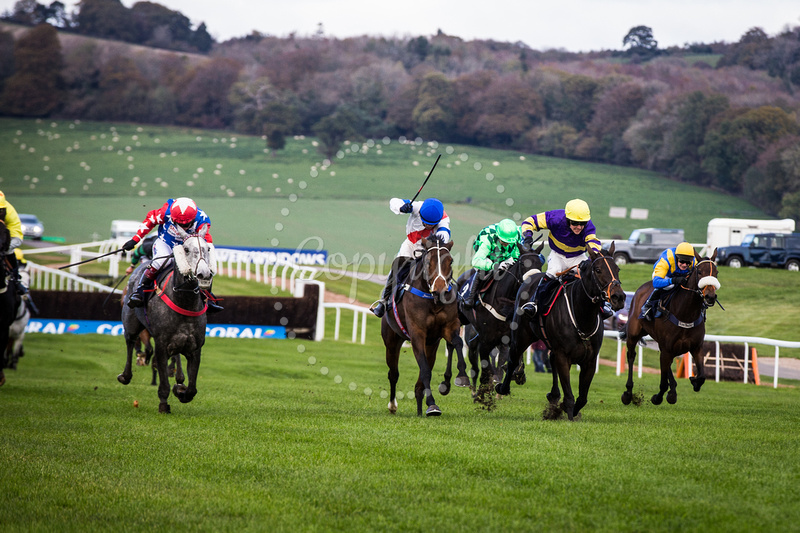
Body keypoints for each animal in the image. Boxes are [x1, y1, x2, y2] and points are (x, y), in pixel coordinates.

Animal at [117, 227, 214, 414]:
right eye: (186, 249)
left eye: (208, 249)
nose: (204, 274)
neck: (184, 301)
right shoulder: (161, 344)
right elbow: (162, 380)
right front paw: (163, 404)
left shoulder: (195, 348)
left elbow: (192, 388)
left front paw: (181, 391)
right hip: (131, 324)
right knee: (130, 342)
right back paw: (126, 375)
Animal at [384, 236, 466, 416]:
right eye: (428, 261)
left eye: (450, 261)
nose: (440, 290)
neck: (433, 301)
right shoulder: (417, 333)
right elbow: (425, 370)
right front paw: (433, 404)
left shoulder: (449, 326)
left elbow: (457, 342)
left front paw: (462, 376)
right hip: (392, 341)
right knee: (393, 374)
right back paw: (393, 405)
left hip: (431, 345)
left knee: (419, 380)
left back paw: (421, 409)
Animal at [446, 242, 548, 400]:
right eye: (522, 264)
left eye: (540, 263)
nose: (534, 282)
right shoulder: (487, 339)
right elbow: (488, 365)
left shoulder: (510, 336)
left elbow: (509, 360)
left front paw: (517, 374)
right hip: (458, 319)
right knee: (453, 344)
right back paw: (460, 379)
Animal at [496, 245, 628, 420]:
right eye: (598, 270)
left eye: (617, 269)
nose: (618, 297)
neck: (582, 317)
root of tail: (530, 278)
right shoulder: (563, 356)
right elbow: (570, 395)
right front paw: (569, 415)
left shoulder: (590, 360)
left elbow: (582, 398)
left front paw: (567, 410)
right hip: (521, 335)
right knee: (512, 359)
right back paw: (503, 387)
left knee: (550, 361)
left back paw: (553, 395)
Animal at [620, 249, 720, 404]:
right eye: (700, 272)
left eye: (716, 272)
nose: (710, 296)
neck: (686, 314)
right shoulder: (667, 348)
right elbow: (662, 383)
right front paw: (657, 397)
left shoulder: (696, 347)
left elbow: (702, 377)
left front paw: (693, 381)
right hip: (634, 334)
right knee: (631, 356)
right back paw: (628, 393)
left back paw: (673, 390)